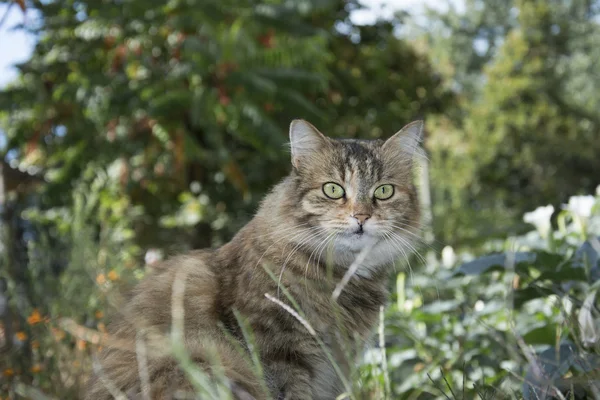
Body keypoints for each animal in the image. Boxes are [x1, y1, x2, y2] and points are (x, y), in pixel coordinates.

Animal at [84, 119, 424, 400]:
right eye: (333, 189)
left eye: (384, 191)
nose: (362, 217)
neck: (340, 280)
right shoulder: (280, 357)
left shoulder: (337, 367)